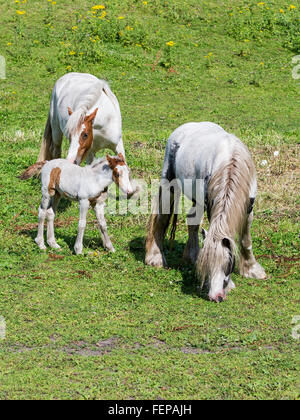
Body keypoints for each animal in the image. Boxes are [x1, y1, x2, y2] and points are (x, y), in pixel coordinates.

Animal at [146, 121, 266, 302]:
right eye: (209, 267)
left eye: (228, 264)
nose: (216, 296)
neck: (231, 162)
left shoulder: (248, 208)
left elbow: (246, 240)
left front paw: (252, 270)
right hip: (169, 183)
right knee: (160, 220)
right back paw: (155, 258)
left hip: (198, 198)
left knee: (192, 221)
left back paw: (192, 256)